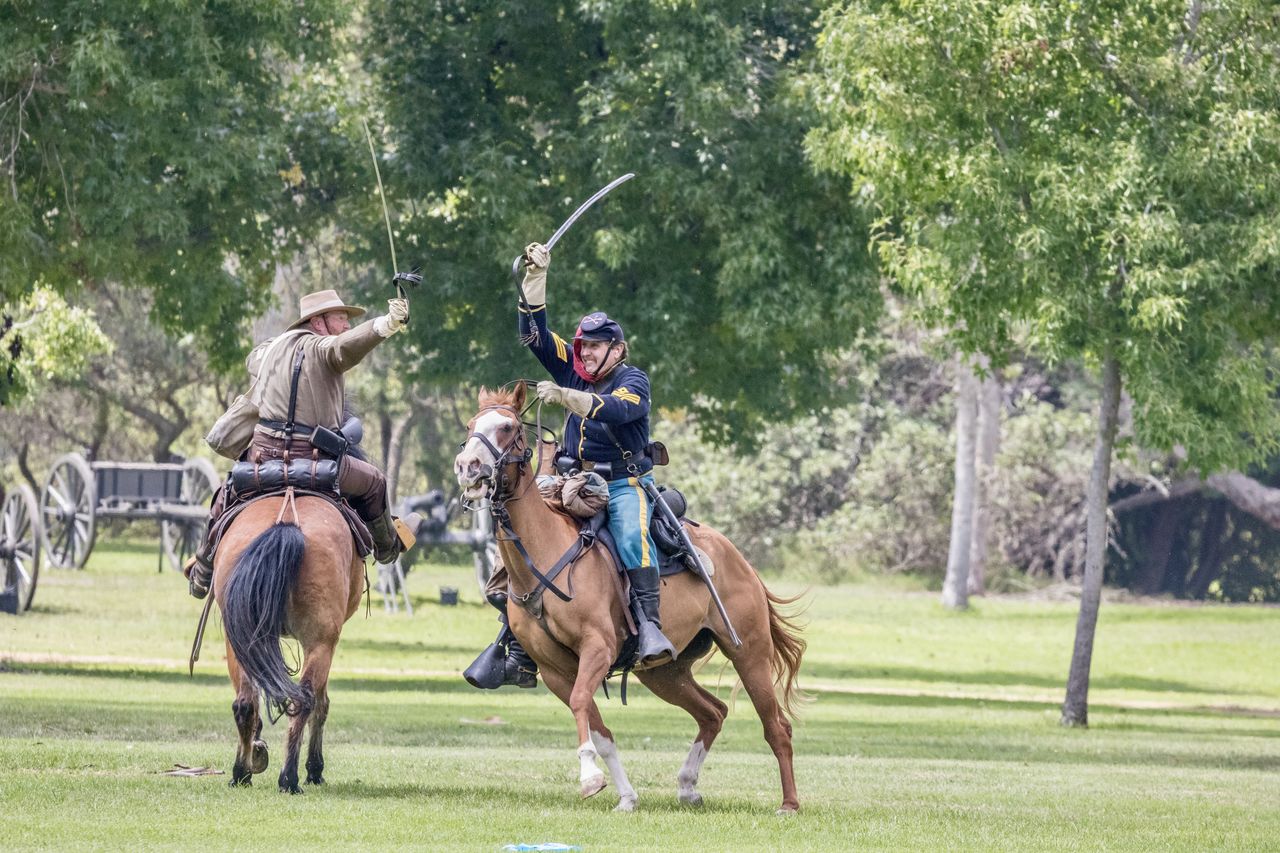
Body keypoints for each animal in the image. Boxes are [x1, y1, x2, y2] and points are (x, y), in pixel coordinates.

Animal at [209, 491, 360, 788]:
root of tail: (286, 525)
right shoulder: (326, 644)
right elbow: (322, 705)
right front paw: (315, 769)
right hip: (321, 643)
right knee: (305, 701)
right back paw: (288, 778)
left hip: (240, 640)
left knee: (246, 703)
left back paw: (241, 773)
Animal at [455, 384, 803, 809]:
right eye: (471, 425)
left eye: (507, 427)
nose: (467, 466)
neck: (549, 552)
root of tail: (740, 560)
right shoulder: (555, 669)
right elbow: (598, 726)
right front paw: (625, 796)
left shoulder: (597, 648)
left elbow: (581, 704)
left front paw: (589, 778)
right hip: (665, 672)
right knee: (713, 712)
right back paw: (687, 785)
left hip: (749, 652)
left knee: (776, 725)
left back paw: (788, 804)